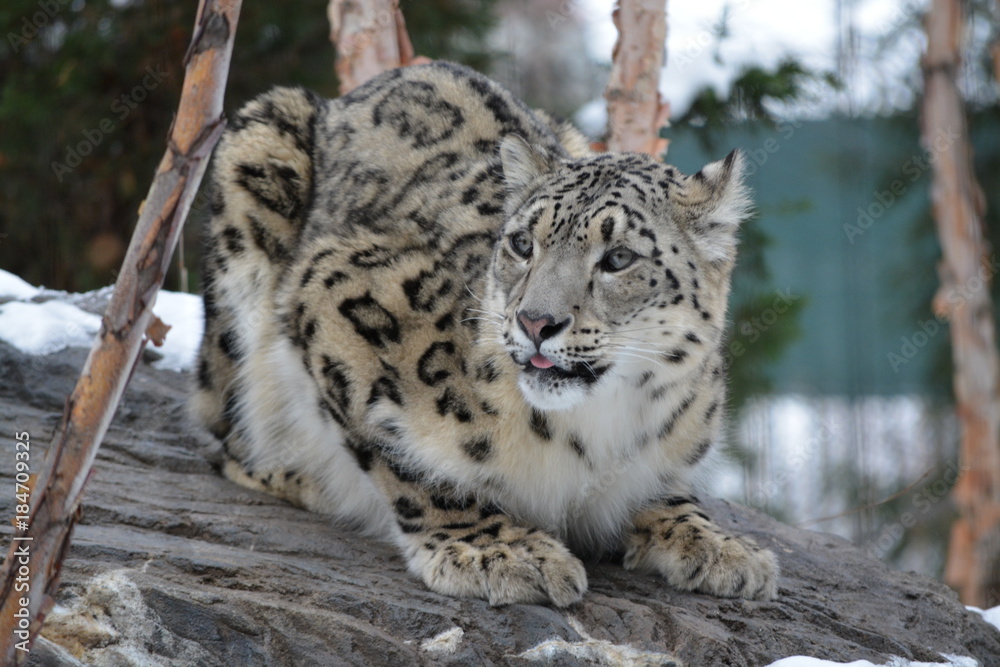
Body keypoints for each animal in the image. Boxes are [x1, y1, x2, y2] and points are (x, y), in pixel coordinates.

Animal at [190, 61, 779, 607]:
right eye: (522, 243)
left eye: (618, 258)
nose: (536, 321)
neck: (595, 432)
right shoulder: (333, 290)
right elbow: (400, 456)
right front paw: (496, 549)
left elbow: (666, 488)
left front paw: (717, 545)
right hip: (257, 160)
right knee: (227, 435)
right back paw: (304, 477)